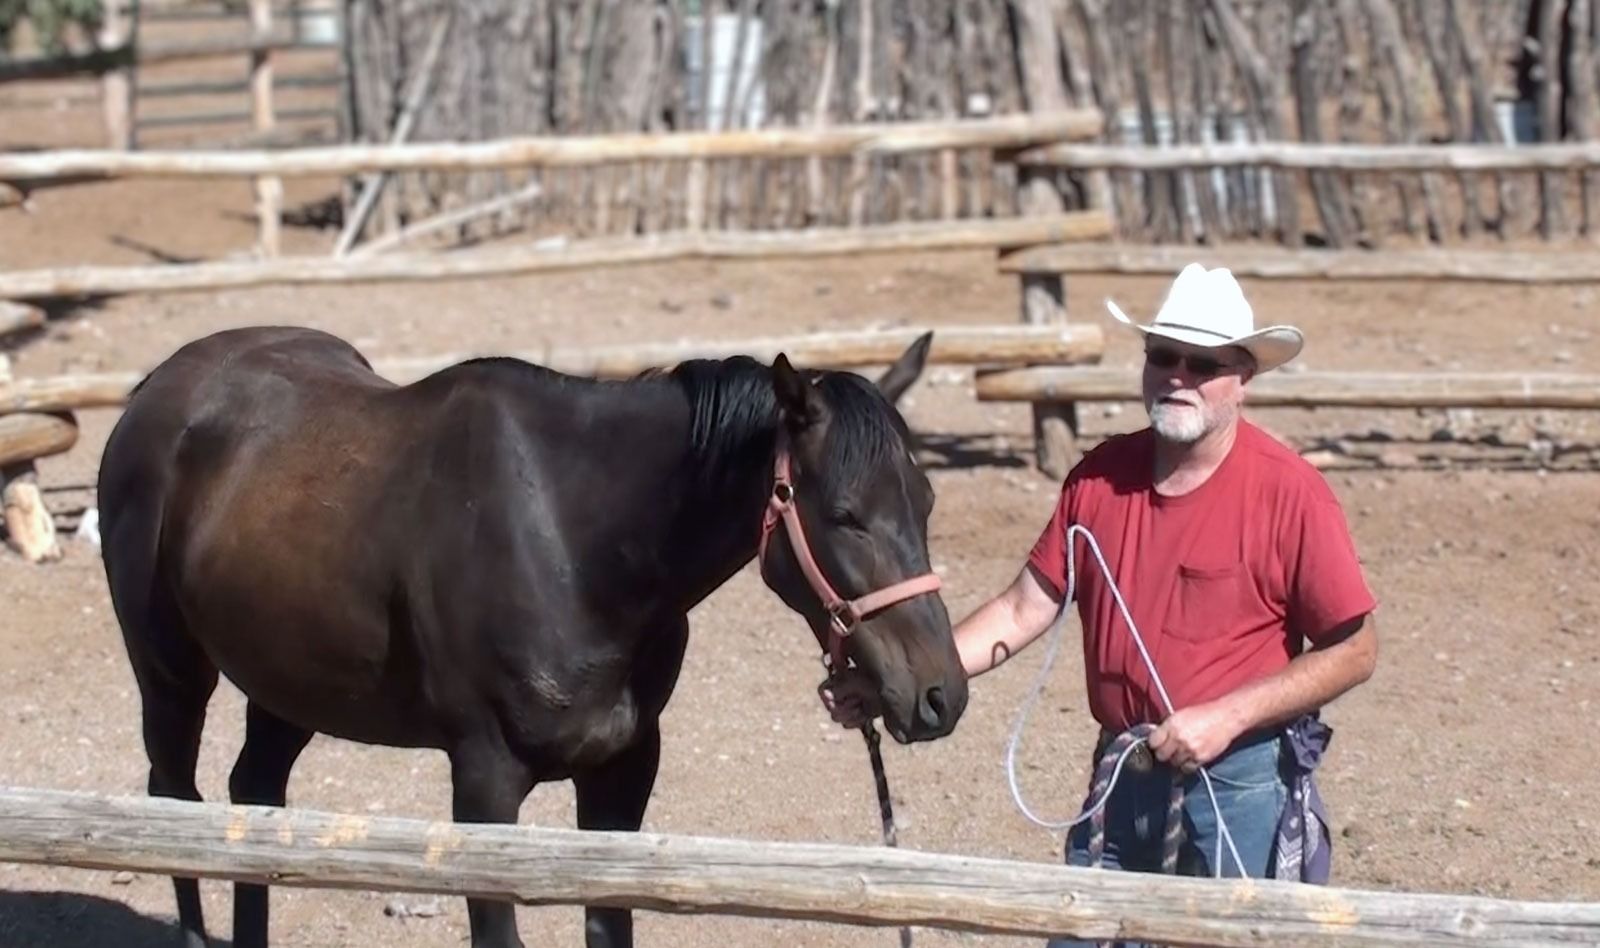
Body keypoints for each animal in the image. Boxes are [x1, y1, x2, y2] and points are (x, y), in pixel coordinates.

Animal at [96, 324, 969, 948]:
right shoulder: (483, 786)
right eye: (845, 515)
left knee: (253, 804)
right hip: (170, 673)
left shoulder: (623, 773)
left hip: (286, 685)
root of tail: (157, 388)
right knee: (174, 805)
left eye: (927, 502)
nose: (941, 696)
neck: (572, 540)